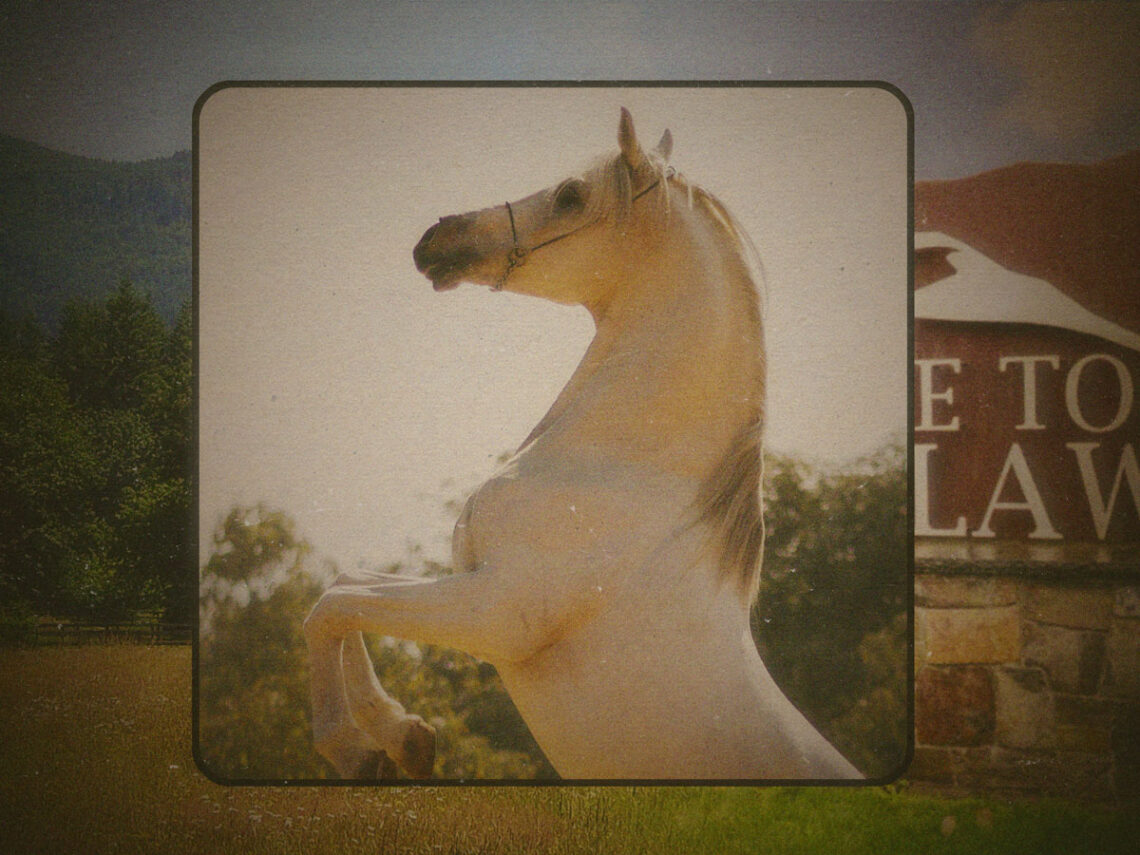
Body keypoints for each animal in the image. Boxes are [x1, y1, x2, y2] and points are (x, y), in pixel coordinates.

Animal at [303, 108, 862, 781]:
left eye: (571, 195)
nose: (436, 237)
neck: (621, 465)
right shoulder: (470, 585)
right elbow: (342, 587)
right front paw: (404, 739)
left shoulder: (495, 612)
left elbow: (333, 608)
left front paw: (358, 750)